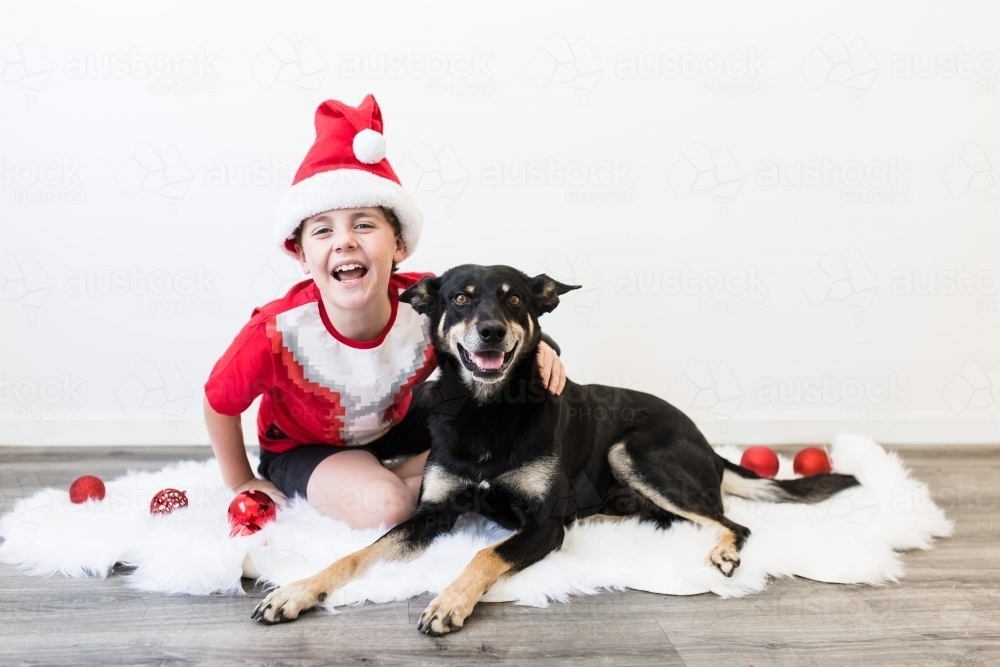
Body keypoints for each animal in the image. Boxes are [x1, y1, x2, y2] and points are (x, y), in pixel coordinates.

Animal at [252, 264, 860, 636]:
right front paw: (296, 592)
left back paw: (723, 551)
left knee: (733, 521)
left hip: (633, 451)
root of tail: (707, 444)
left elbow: (484, 554)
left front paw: (448, 601)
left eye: (515, 298)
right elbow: (355, 554)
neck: (488, 411)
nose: (491, 332)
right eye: (460, 299)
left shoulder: (543, 526)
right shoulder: (430, 514)